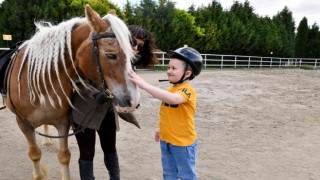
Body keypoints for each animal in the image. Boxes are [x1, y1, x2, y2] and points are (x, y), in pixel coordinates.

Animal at [2, 4, 140, 179]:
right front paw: (38, 173)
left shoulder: (63, 122)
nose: (134, 100)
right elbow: (34, 153)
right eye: (111, 55)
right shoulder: (23, 124)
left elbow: (64, 156)